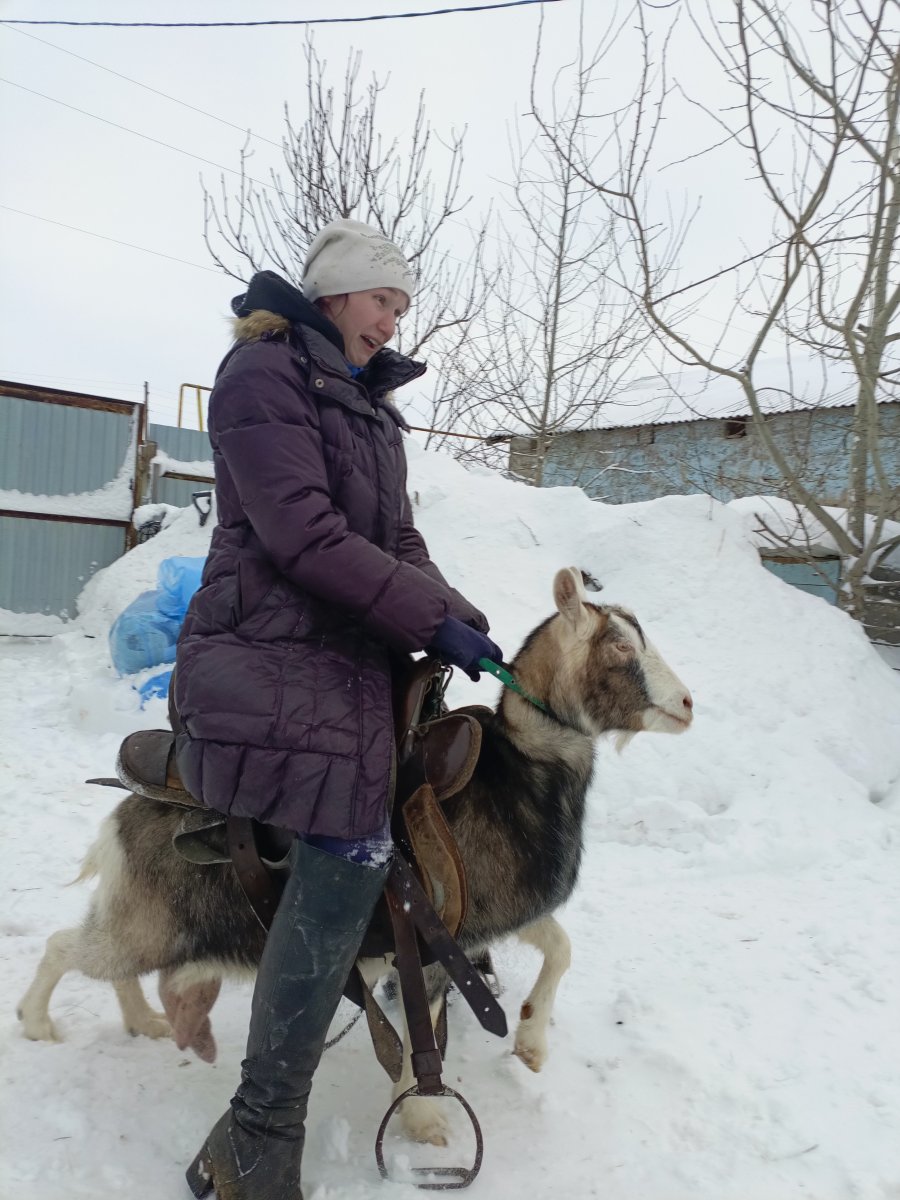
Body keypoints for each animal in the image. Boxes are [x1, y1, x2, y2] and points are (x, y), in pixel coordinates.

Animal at [18, 567, 692, 1147]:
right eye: (618, 647)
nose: (686, 704)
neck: (521, 774)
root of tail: (123, 815)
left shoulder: (493, 921)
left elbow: (560, 947)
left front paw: (530, 1045)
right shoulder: (439, 940)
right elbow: (426, 1026)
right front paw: (424, 1121)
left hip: (149, 929)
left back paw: (143, 1022)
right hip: (146, 927)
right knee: (62, 946)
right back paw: (36, 1022)